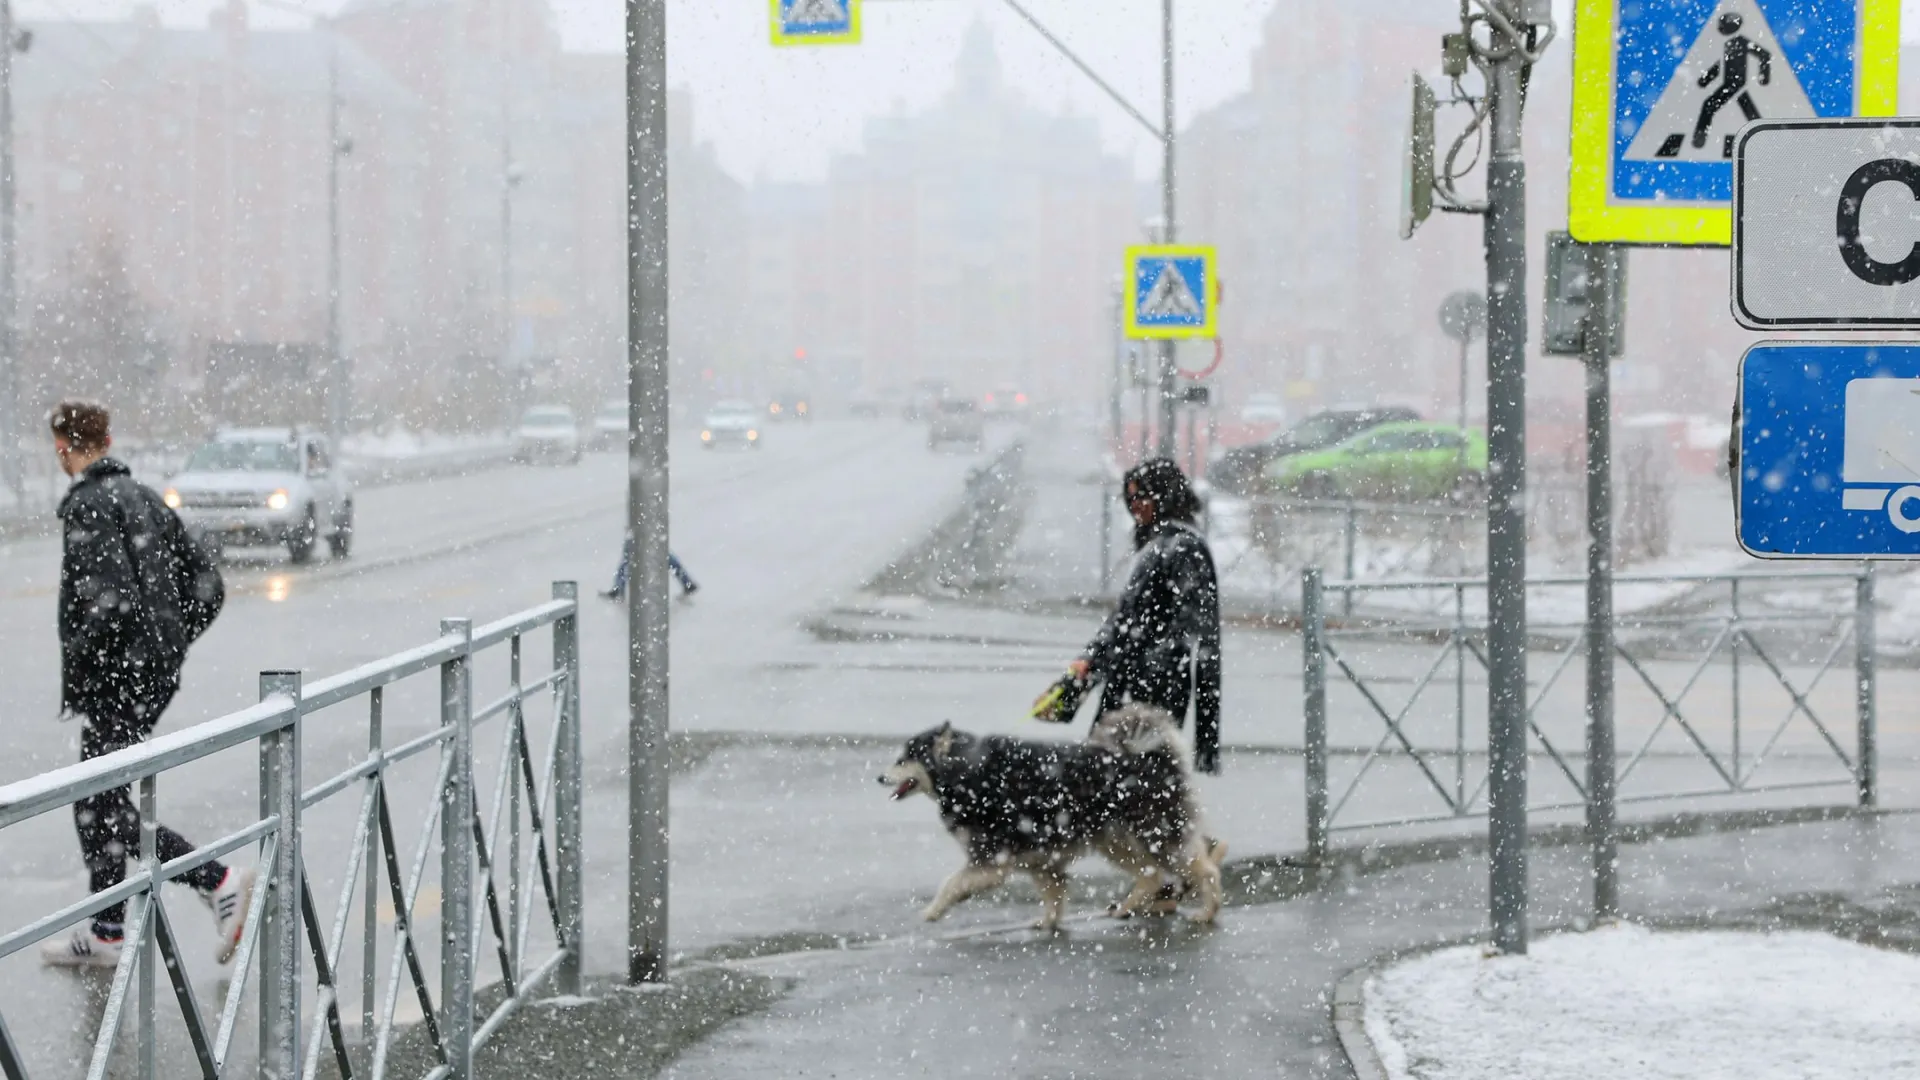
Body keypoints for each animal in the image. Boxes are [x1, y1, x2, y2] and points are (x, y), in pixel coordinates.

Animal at [879, 707, 1221, 926]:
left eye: (904, 759)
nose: (879, 777)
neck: (965, 771)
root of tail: (1154, 758)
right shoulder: (1041, 858)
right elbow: (1054, 896)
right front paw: (1048, 925)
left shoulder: (991, 859)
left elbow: (950, 884)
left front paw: (932, 912)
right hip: (1115, 841)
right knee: (1150, 876)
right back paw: (1126, 908)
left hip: (1156, 837)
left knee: (1205, 870)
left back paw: (1208, 912)